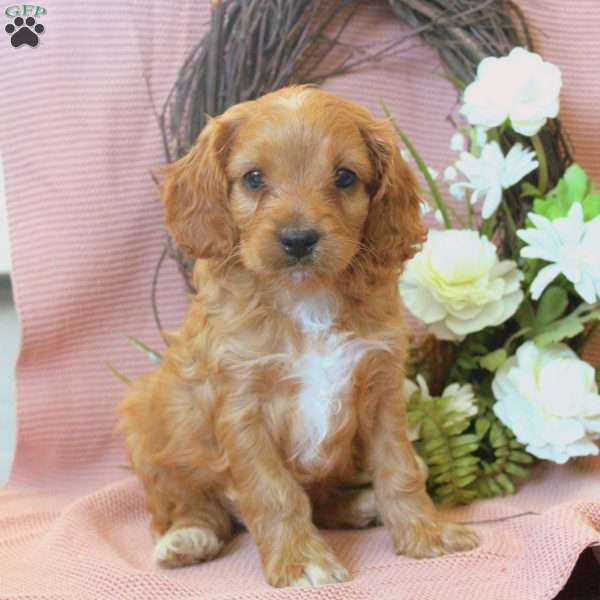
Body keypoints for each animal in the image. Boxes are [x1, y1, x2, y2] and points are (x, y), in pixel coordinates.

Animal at [120, 86, 478, 588]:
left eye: (345, 177)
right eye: (253, 178)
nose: (297, 239)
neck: (305, 297)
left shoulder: (382, 389)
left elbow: (400, 468)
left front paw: (425, 532)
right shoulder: (241, 408)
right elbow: (275, 492)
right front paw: (300, 560)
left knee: (335, 496)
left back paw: (363, 504)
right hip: (146, 418)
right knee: (190, 507)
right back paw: (186, 538)